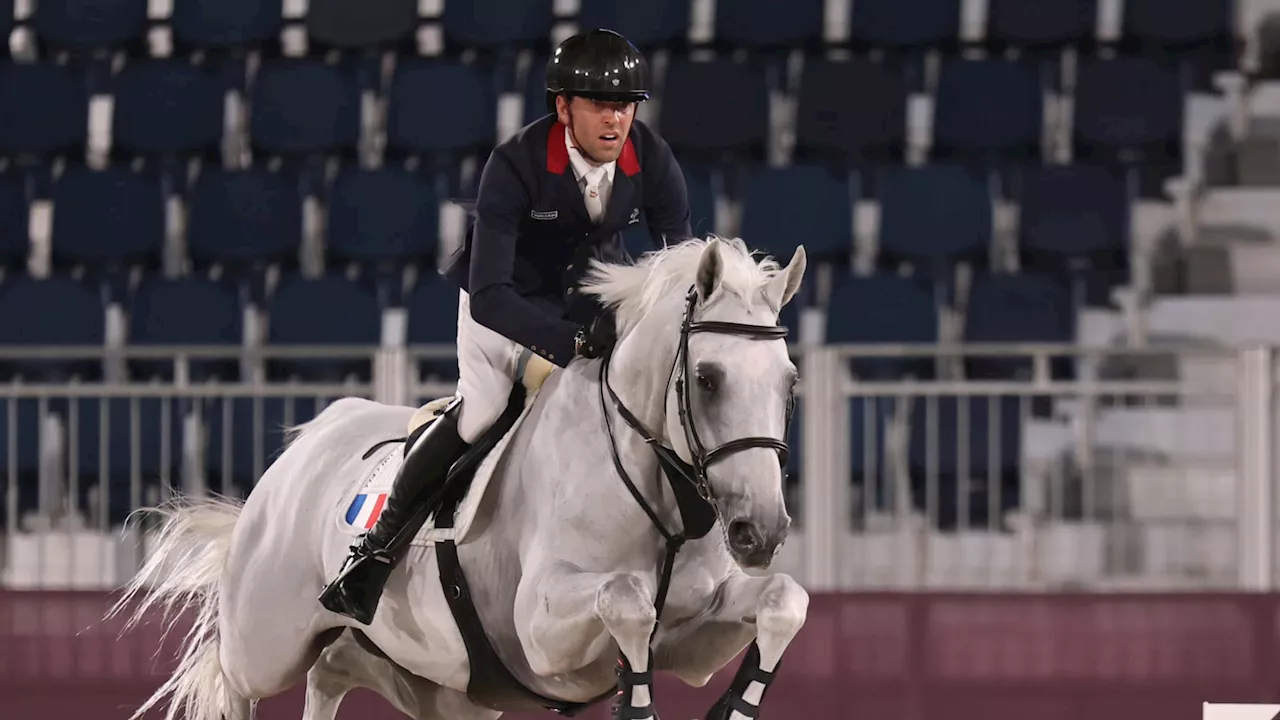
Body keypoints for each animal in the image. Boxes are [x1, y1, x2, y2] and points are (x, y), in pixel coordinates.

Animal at [112, 237, 808, 717]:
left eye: (790, 383)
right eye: (708, 379)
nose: (761, 532)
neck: (658, 496)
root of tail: (308, 440)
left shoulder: (693, 641)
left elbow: (785, 601)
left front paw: (733, 706)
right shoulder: (542, 632)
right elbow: (627, 599)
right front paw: (635, 702)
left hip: (447, 683)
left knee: (336, 669)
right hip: (264, 644)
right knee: (241, 680)